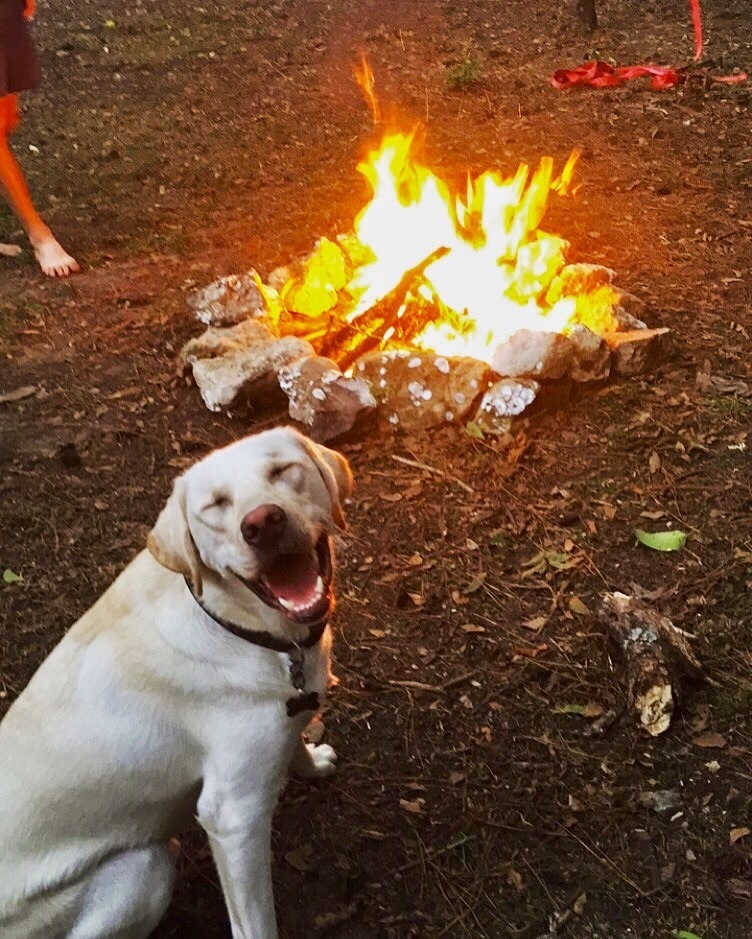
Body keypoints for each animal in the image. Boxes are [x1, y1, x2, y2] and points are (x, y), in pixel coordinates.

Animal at [0, 428, 352, 939]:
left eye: (283, 470)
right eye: (216, 505)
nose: (262, 523)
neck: (242, 627)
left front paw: (311, 760)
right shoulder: (233, 818)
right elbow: (255, 924)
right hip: (146, 869)